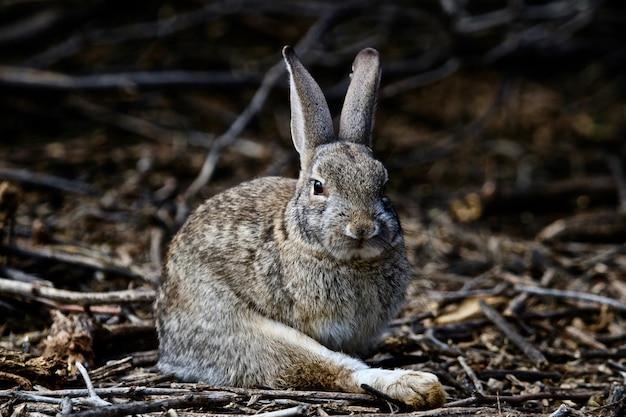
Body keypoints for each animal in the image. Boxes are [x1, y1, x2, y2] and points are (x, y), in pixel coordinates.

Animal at [155, 45, 444, 406]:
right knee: (329, 368)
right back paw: (419, 386)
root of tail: (168, 348)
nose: (362, 228)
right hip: (243, 333)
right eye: (318, 187)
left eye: (384, 185)